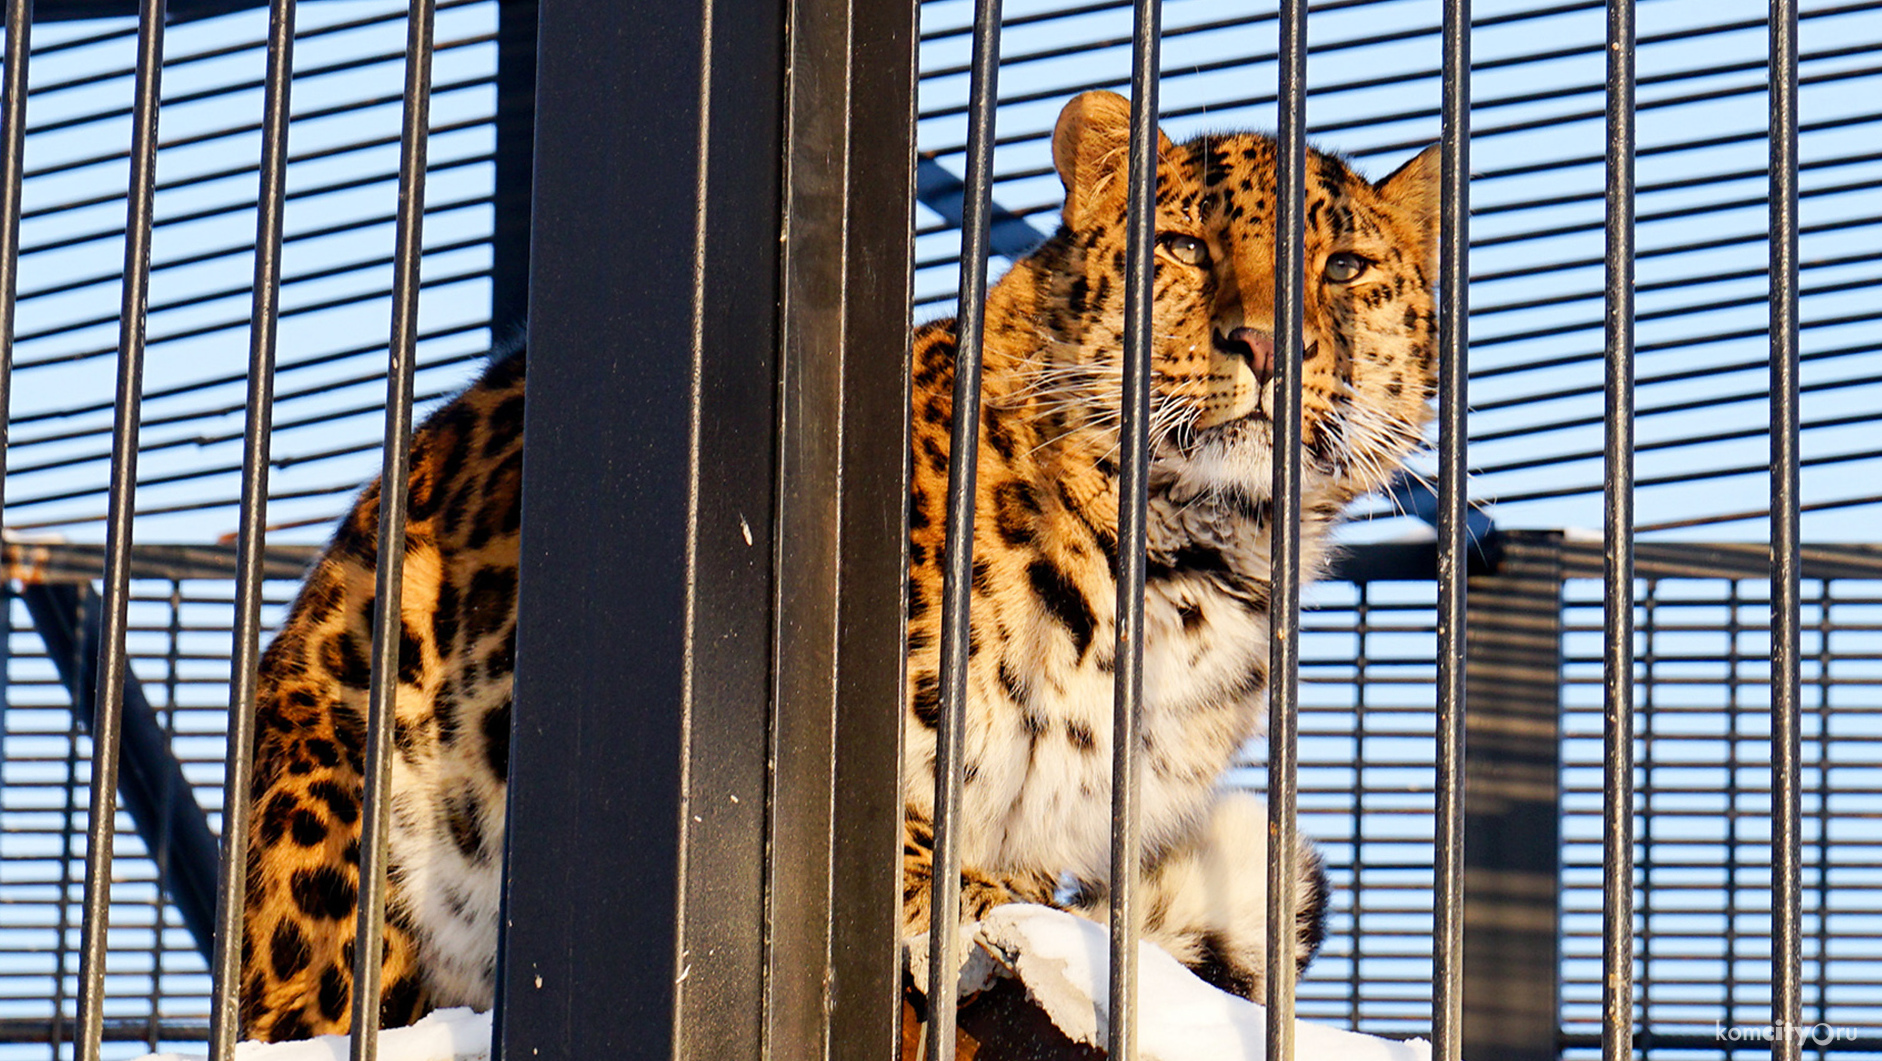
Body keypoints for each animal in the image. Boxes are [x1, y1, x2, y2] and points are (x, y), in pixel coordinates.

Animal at [235, 87, 1437, 1038]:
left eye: (1342, 267)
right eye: (1184, 247)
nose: (1266, 345)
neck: (1196, 551)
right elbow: (868, 835)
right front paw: (954, 904)